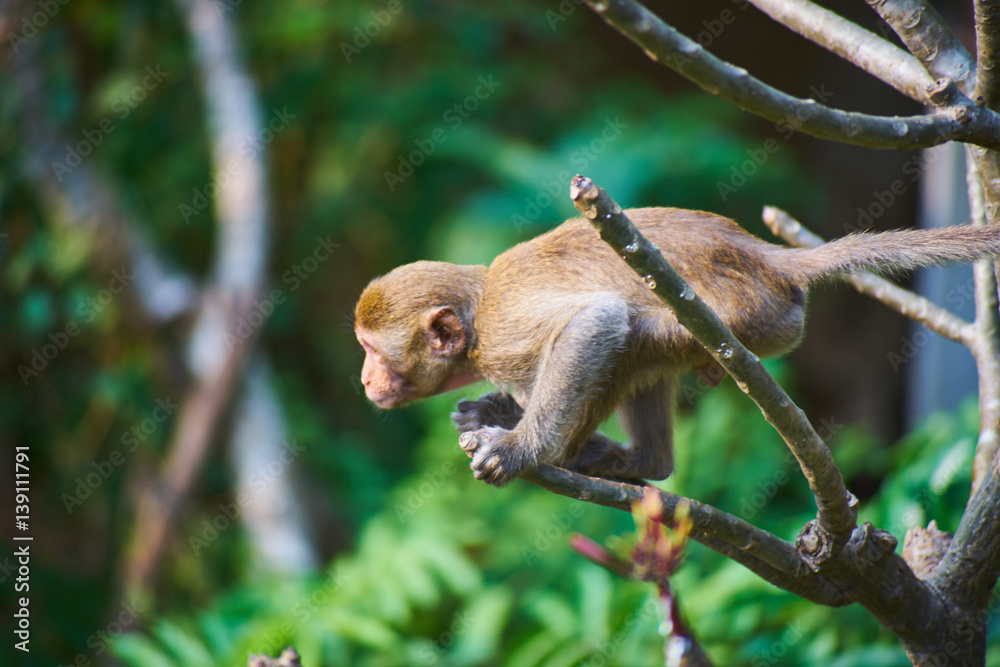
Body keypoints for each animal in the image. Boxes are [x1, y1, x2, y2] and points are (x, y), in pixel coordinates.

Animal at [354, 207, 1000, 486]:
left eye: (374, 352)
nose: (364, 379)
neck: (478, 311)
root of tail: (768, 258)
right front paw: (495, 411)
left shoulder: (502, 334)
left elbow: (594, 323)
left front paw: (522, 449)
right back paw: (644, 463)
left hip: (747, 318)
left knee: (634, 331)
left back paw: (572, 456)